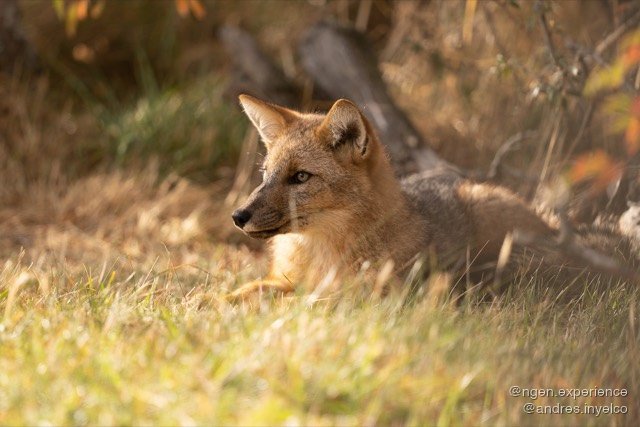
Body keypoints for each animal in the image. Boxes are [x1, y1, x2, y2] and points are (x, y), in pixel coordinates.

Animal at [229, 94, 555, 299]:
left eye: (300, 177)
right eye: (265, 174)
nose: (237, 216)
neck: (319, 255)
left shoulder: (373, 297)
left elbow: (303, 301)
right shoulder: (282, 279)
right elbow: (244, 291)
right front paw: (218, 304)